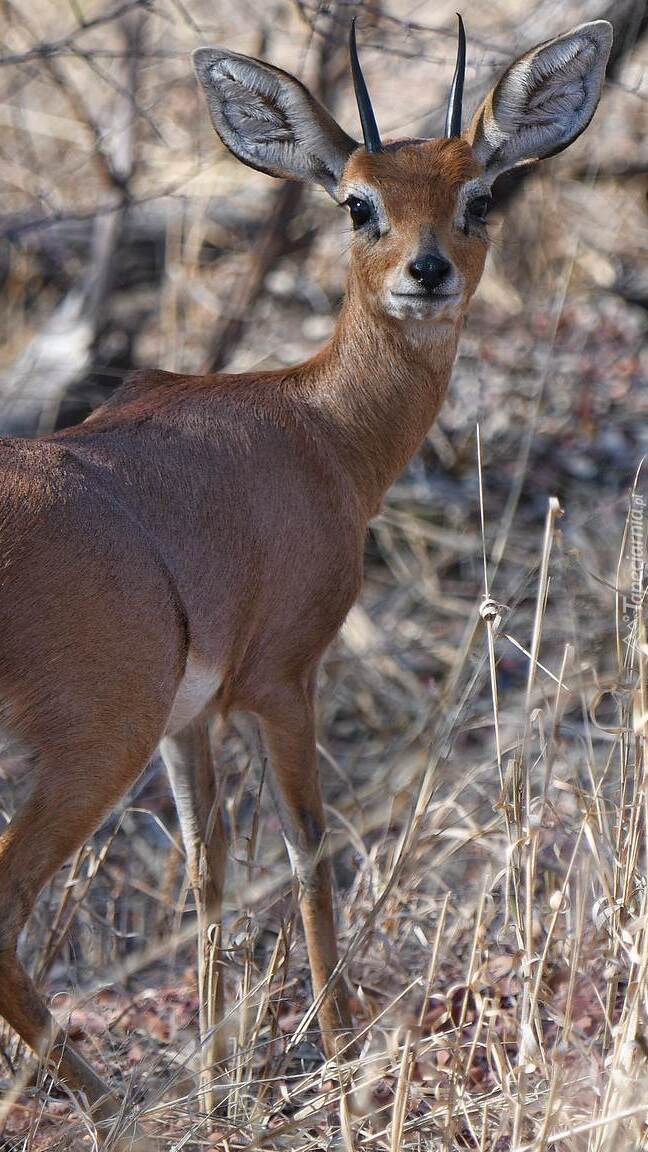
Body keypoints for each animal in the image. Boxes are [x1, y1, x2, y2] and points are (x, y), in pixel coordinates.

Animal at [0, 13, 608, 1147]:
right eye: (357, 201)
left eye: (478, 195)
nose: (426, 271)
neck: (316, 425)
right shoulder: (282, 682)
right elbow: (312, 854)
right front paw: (346, 1065)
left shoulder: (191, 722)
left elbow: (207, 872)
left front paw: (219, 1082)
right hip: (89, 749)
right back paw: (119, 1104)